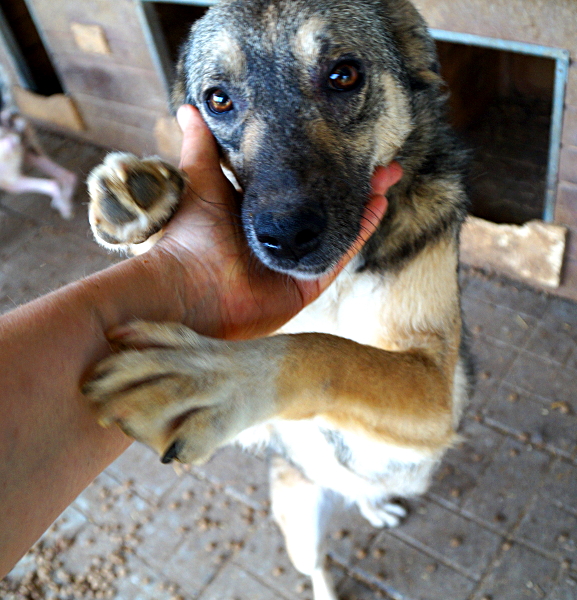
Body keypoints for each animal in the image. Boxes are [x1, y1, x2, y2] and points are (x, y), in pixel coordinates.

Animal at [0, 67, 76, 220]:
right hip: (32, 153)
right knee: (68, 175)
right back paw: (64, 205)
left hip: (10, 179)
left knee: (52, 183)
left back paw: (64, 208)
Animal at [86, 2, 472, 596]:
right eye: (218, 99)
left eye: (344, 75)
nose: (286, 236)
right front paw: (142, 203)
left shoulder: (436, 388)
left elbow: (328, 352)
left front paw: (213, 378)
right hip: (302, 521)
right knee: (318, 566)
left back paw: (375, 504)